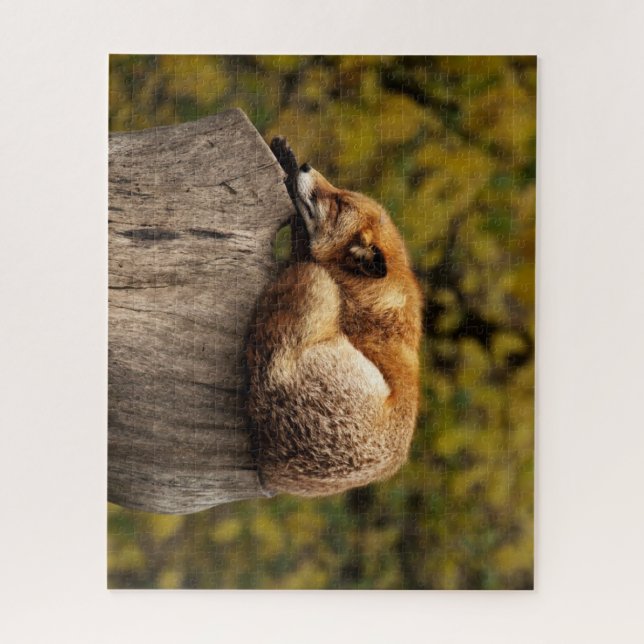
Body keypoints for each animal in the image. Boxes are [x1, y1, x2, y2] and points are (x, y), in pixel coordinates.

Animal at [246, 138, 423, 497]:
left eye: (339, 203)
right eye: (341, 191)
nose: (306, 166)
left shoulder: (316, 267)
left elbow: (301, 240)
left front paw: (286, 164)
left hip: (313, 282)